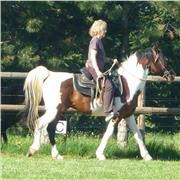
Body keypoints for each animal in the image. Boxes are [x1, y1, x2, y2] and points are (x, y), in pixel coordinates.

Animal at [22, 45, 174, 160]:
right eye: (164, 59)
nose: (172, 75)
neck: (128, 83)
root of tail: (50, 75)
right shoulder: (116, 116)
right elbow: (108, 134)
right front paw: (100, 154)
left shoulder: (128, 115)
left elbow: (138, 135)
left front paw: (147, 156)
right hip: (54, 110)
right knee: (39, 123)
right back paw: (33, 149)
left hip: (57, 111)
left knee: (50, 129)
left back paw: (56, 155)